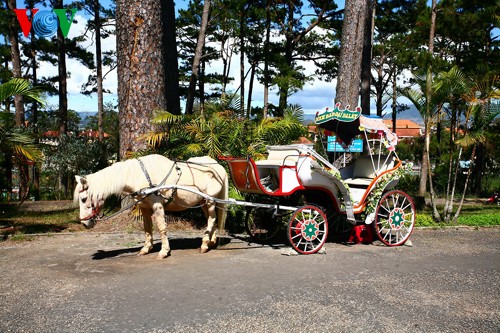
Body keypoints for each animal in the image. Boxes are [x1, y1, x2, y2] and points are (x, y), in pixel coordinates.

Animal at [73, 154, 229, 258]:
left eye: (84, 199)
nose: (84, 223)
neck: (138, 175)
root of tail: (218, 167)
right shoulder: (144, 207)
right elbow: (147, 227)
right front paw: (146, 248)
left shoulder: (157, 206)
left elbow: (161, 227)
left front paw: (164, 251)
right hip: (203, 202)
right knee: (212, 219)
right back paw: (211, 241)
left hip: (209, 201)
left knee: (212, 219)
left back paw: (204, 244)